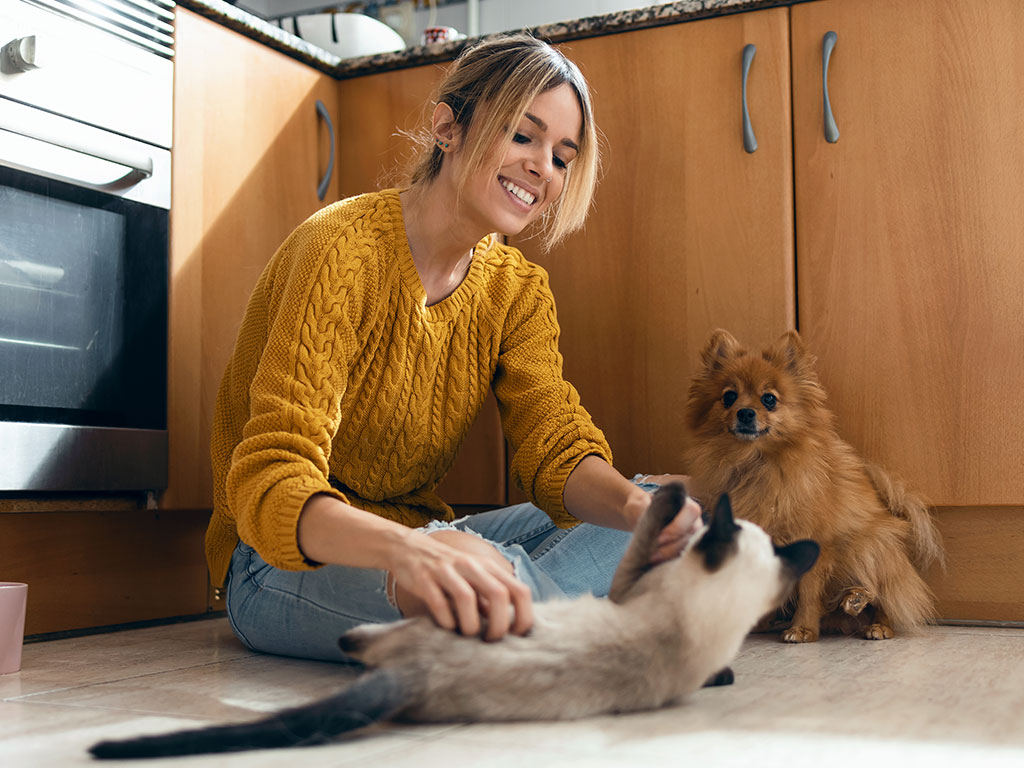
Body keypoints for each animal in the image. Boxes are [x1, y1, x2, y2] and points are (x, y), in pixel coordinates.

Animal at [92, 483, 819, 761]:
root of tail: (413, 677)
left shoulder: (627, 586)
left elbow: (646, 530)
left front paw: (673, 502)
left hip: (401, 633)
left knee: (354, 643)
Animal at [684, 331, 937, 643]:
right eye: (729, 397)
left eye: (769, 399)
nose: (744, 413)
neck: (756, 463)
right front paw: (761, 621)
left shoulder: (813, 543)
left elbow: (808, 593)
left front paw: (803, 629)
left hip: (868, 545)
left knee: (885, 597)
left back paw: (871, 614)